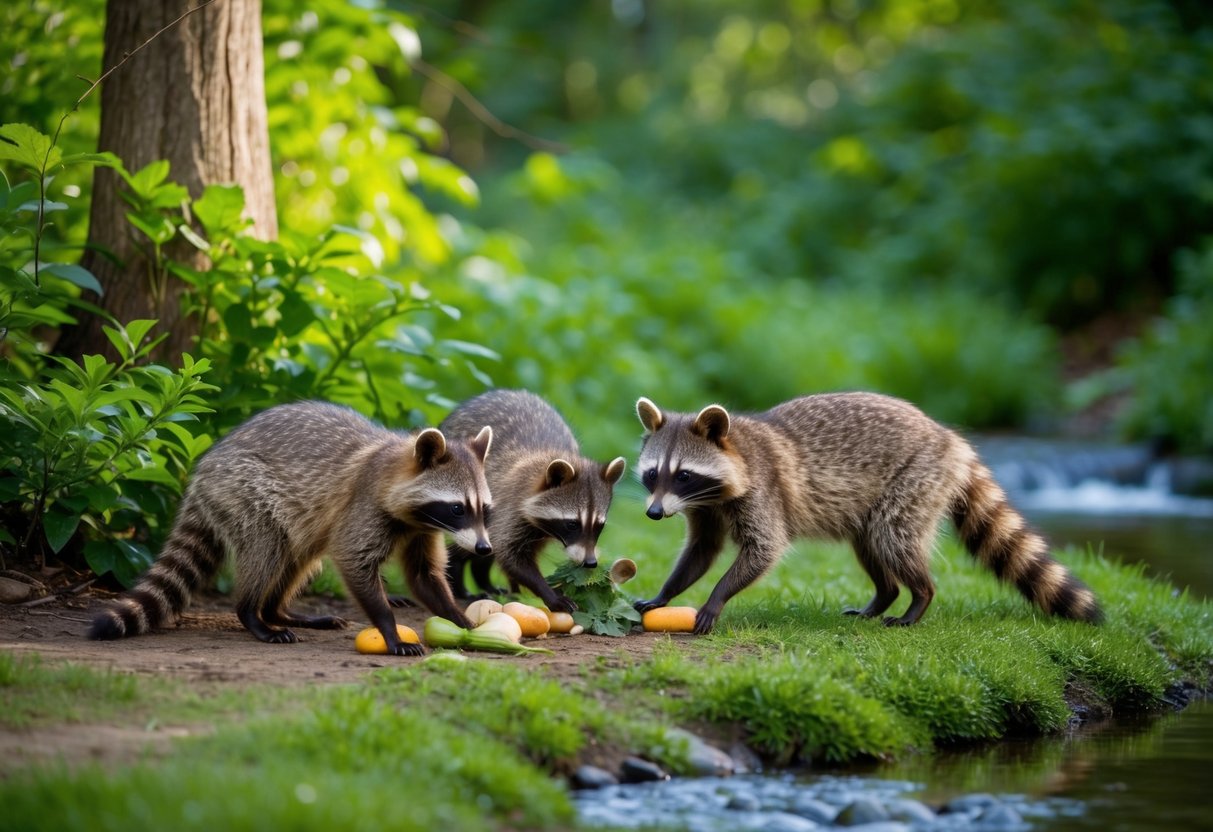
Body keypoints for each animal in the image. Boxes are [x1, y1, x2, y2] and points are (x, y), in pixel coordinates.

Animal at [87, 401, 493, 655]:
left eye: (485, 510)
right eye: (458, 509)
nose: (484, 549)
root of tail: (202, 475)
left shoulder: (422, 529)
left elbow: (424, 575)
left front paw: (458, 620)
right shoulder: (364, 506)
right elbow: (353, 560)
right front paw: (389, 627)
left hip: (293, 517)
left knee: (299, 557)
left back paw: (277, 610)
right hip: (243, 493)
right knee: (267, 551)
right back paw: (253, 613)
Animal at [440, 390, 626, 611]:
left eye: (599, 525)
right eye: (573, 524)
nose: (590, 563)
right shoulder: (509, 507)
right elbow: (511, 556)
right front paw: (548, 592)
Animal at [634, 393, 1102, 633]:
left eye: (684, 475)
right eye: (653, 474)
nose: (654, 514)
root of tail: (948, 439)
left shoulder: (764, 491)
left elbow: (764, 548)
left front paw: (716, 597)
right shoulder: (706, 509)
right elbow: (701, 550)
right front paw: (666, 592)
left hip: (916, 479)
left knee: (893, 538)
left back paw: (919, 596)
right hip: (873, 503)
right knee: (871, 544)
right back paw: (885, 594)